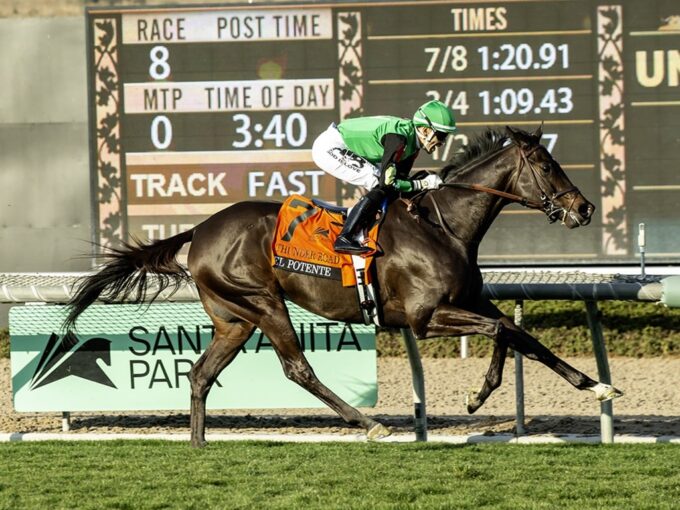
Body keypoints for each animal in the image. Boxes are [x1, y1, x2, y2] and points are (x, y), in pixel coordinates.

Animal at [66, 125, 624, 444]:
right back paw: (370, 424)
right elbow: (504, 332)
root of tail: (200, 230)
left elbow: (516, 333)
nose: (584, 209)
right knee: (298, 369)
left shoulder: (469, 301)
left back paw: (200, 445)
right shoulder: (424, 318)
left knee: (201, 374)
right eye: (547, 165)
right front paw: (482, 394)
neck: (443, 225)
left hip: (234, 320)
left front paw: (592, 385)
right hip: (264, 303)